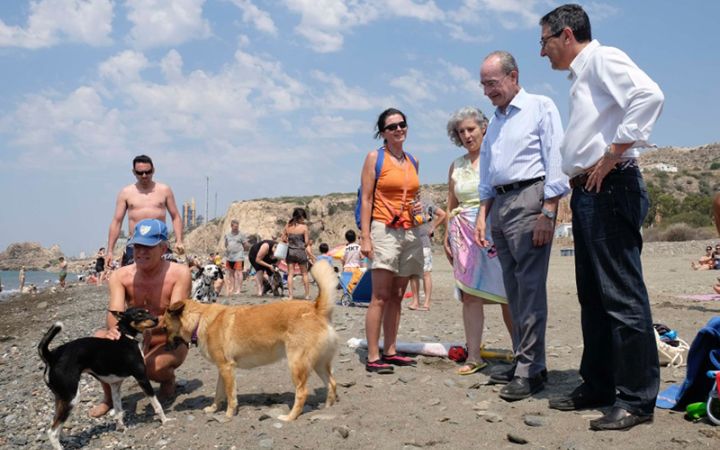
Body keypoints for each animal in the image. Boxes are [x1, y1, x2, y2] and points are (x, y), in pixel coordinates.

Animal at [38, 308, 169, 448]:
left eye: (147, 311)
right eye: (139, 315)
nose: (156, 319)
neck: (127, 338)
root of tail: (51, 356)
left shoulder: (116, 385)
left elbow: (118, 411)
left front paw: (121, 429)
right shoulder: (142, 378)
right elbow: (157, 405)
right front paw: (166, 420)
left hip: (62, 397)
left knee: (56, 423)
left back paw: (67, 439)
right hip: (71, 398)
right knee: (52, 431)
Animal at [165, 258, 338, 420]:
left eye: (164, 327)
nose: (165, 348)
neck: (200, 319)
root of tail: (316, 309)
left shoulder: (227, 368)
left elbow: (230, 395)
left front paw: (228, 415)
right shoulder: (223, 369)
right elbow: (218, 392)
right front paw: (213, 408)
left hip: (297, 364)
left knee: (302, 392)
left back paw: (290, 417)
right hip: (318, 363)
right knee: (332, 383)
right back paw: (328, 408)